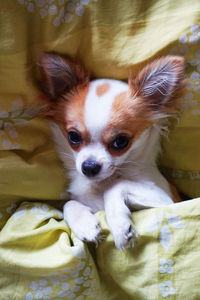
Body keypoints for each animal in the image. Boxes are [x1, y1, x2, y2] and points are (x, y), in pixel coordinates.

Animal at [37, 52, 184, 250]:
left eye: (121, 142)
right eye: (73, 136)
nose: (89, 167)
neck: (102, 183)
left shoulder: (168, 200)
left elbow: (116, 186)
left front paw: (121, 227)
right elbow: (68, 203)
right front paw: (85, 225)